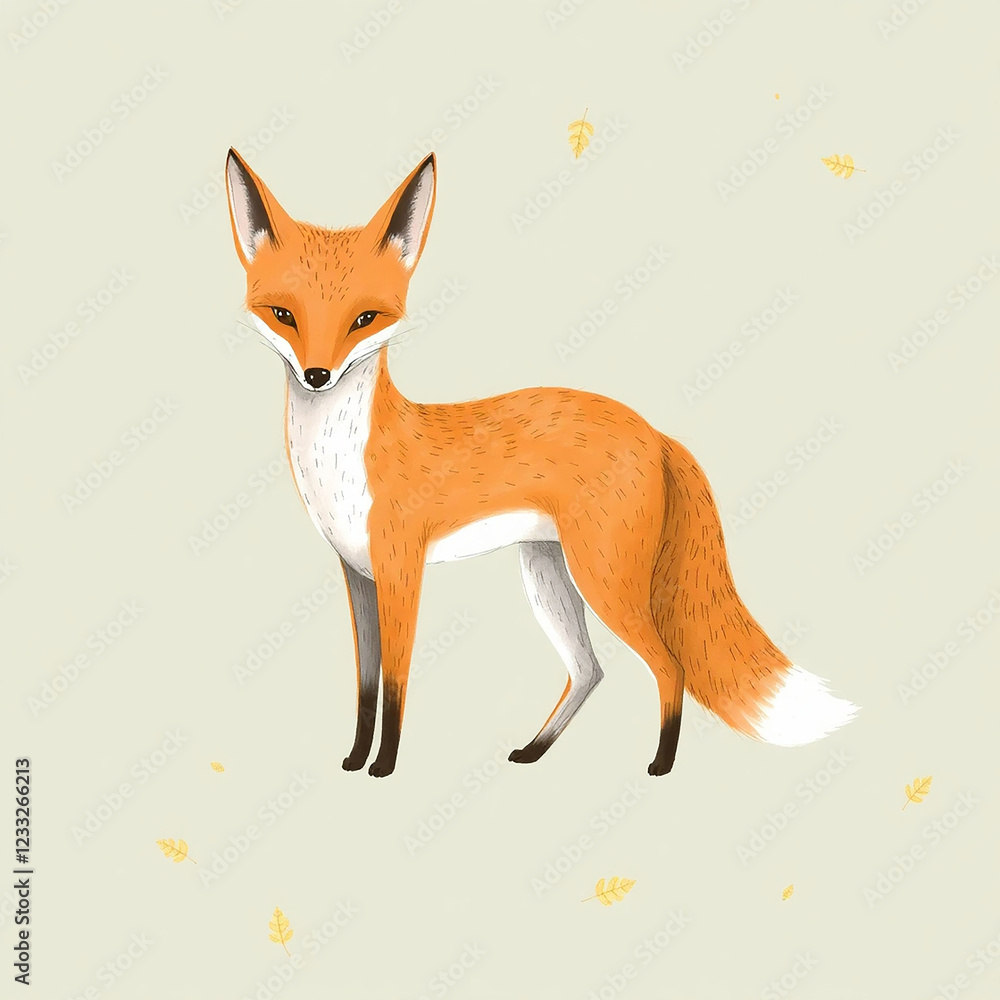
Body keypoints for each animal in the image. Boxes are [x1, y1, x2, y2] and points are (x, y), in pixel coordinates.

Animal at [224, 147, 857, 778]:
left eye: (364, 319)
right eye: (284, 314)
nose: (318, 375)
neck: (340, 462)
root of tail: (655, 433)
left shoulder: (402, 571)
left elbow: (398, 687)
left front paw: (384, 767)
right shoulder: (357, 575)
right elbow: (365, 685)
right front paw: (355, 759)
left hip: (603, 580)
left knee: (667, 665)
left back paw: (661, 764)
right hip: (549, 575)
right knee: (589, 670)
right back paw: (535, 749)